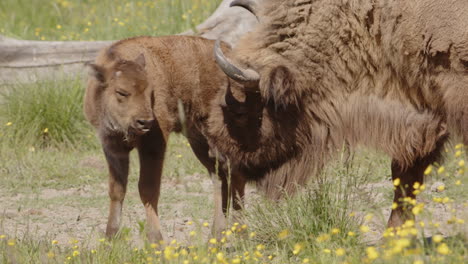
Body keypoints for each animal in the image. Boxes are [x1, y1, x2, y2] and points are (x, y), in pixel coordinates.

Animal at [83, 35, 249, 241]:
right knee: (220, 178)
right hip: (199, 141)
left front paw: (156, 240)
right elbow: (117, 190)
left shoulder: (154, 143)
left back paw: (240, 231)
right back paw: (216, 235)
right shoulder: (112, 147)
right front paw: (110, 237)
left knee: (236, 174)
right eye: (121, 92)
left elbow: (147, 189)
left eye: (150, 91)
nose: (145, 121)